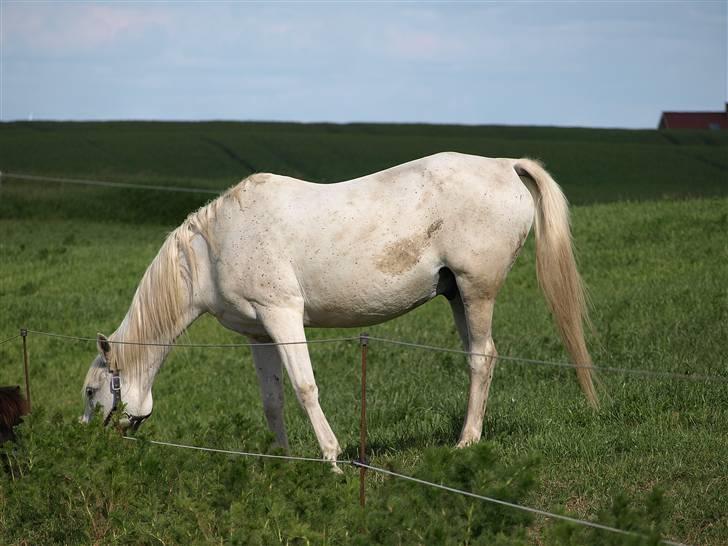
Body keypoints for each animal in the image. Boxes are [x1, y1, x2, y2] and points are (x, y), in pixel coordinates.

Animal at [81, 151, 596, 462]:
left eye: (91, 391)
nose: (88, 440)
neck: (214, 248)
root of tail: (504, 165)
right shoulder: (259, 333)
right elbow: (273, 401)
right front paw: (283, 462)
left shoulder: (283, 315)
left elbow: (306, 388)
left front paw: (332, 459)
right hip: (456, 296)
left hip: (478, 291)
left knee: (482, 357)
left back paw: (466, 442)